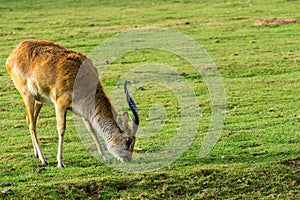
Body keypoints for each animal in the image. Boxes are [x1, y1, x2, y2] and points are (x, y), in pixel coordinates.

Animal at [5, 39, 139, 167]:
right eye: (128, 140)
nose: (128, 159)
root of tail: (14, 53)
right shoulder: (60, 104)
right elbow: (61, 129)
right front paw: (60, 162)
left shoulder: (84, 110)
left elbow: (91, 128)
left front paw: (106, 157)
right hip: (28, 96)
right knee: (32, 125)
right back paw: (44, 160)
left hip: (39, 100)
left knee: (29, 120)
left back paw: (37, 154)